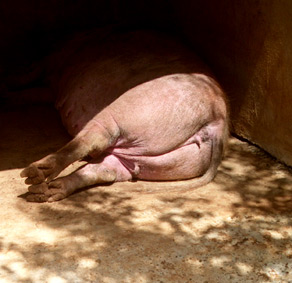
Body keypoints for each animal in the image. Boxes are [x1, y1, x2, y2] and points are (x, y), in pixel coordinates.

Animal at [19, 28, 228, 203]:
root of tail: (218, 117)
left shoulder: (49, 63)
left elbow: (28, 78)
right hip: (171, 161)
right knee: (105, 170)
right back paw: (44, 192)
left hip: (127, 112)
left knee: (96, 138)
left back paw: (33, 174)